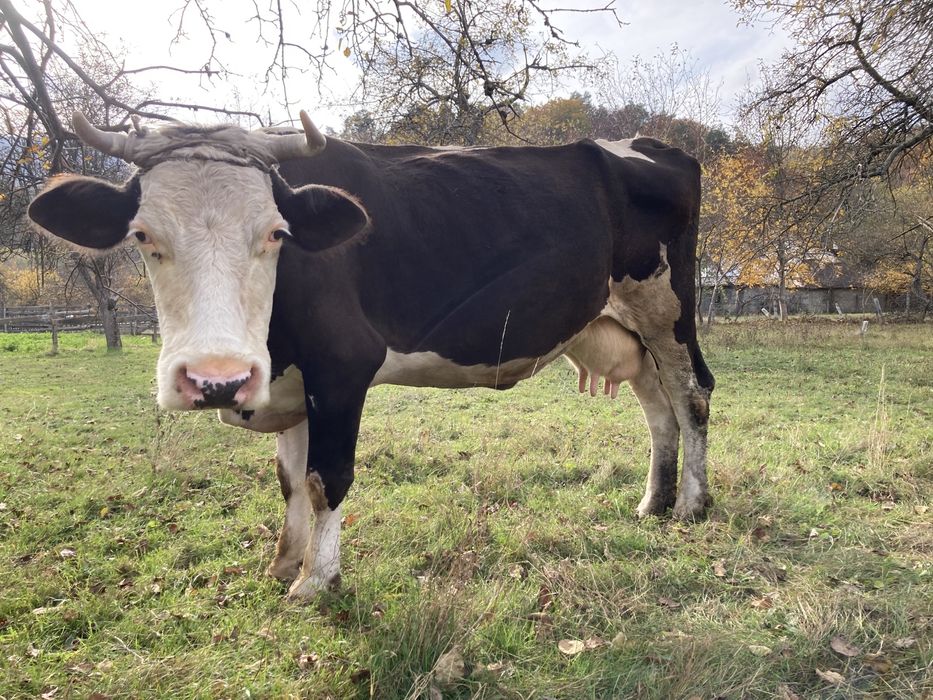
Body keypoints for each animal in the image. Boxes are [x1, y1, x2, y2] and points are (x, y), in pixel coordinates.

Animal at [28, 111, 714, 600]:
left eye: (275, 233)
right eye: (143, 235)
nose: (216, 379)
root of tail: (656, 146)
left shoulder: (340, 365)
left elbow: (325, 477)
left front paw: (316, 581)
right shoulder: (290, 379)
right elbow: (289, 478)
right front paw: (285, 562)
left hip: (667, 308)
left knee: (692, 396)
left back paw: (691, 504)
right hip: (626, 328)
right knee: (657, 409)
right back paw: (652, 502)